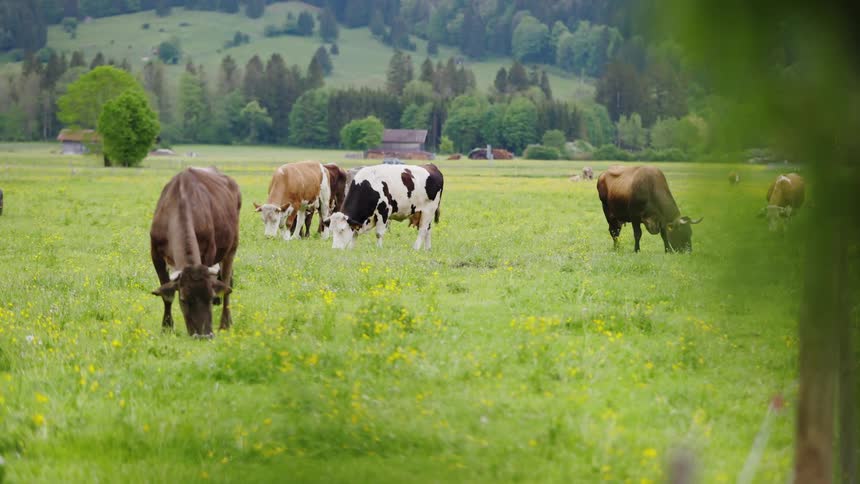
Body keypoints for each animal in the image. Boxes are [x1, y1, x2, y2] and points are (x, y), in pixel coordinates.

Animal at [149, 167, 240, 337]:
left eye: (210, 297)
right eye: (183, 299)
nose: (204, 336)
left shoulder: (209, 252)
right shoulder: (155, 254)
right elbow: (167, 295)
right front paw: (166, 327)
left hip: (232, 248)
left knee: (226, 284)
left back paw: (225, 323)